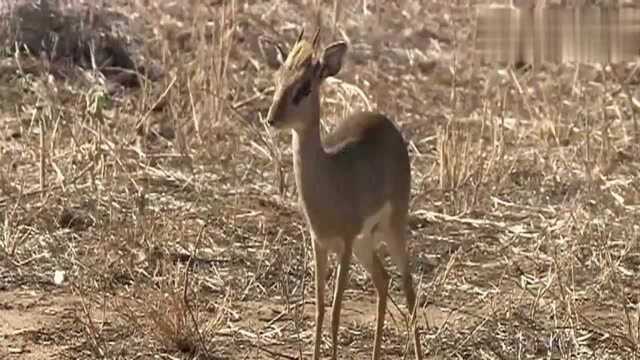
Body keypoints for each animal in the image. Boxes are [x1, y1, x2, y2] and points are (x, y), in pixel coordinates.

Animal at [258, 28, 422, 360]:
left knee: (408, 286)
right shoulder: (319, 243)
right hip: (365, 242)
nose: (272, 119)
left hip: (391, 228)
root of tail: (385, 122)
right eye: (279, 78)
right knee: (383, 280)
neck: (330, 179)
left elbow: (335, 312)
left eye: (305, 87)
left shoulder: (344, 244)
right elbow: (321, 309)